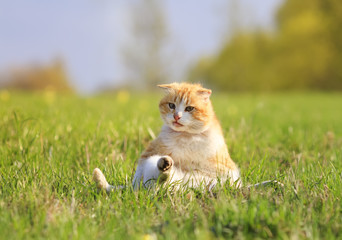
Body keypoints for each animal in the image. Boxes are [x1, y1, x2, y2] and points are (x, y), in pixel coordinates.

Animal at [93, 82, 240, 191]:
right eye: (171, 105)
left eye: (189, 108)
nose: (176, 116)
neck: (186, 135)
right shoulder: (148, 154)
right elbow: (139, 171)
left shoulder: (227, 170)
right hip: (153, 164)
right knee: (158, 181)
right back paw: (165, 165)